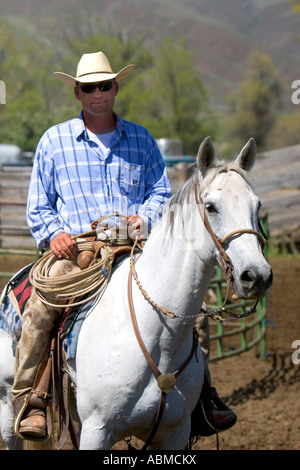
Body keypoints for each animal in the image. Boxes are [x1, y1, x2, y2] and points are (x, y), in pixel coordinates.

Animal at [0, 138, 272, 450]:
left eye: (257, 205)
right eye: (211, 207)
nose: (257, 275)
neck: (157, 335)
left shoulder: (175, 433)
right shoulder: (97, 430)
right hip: (9, 409)